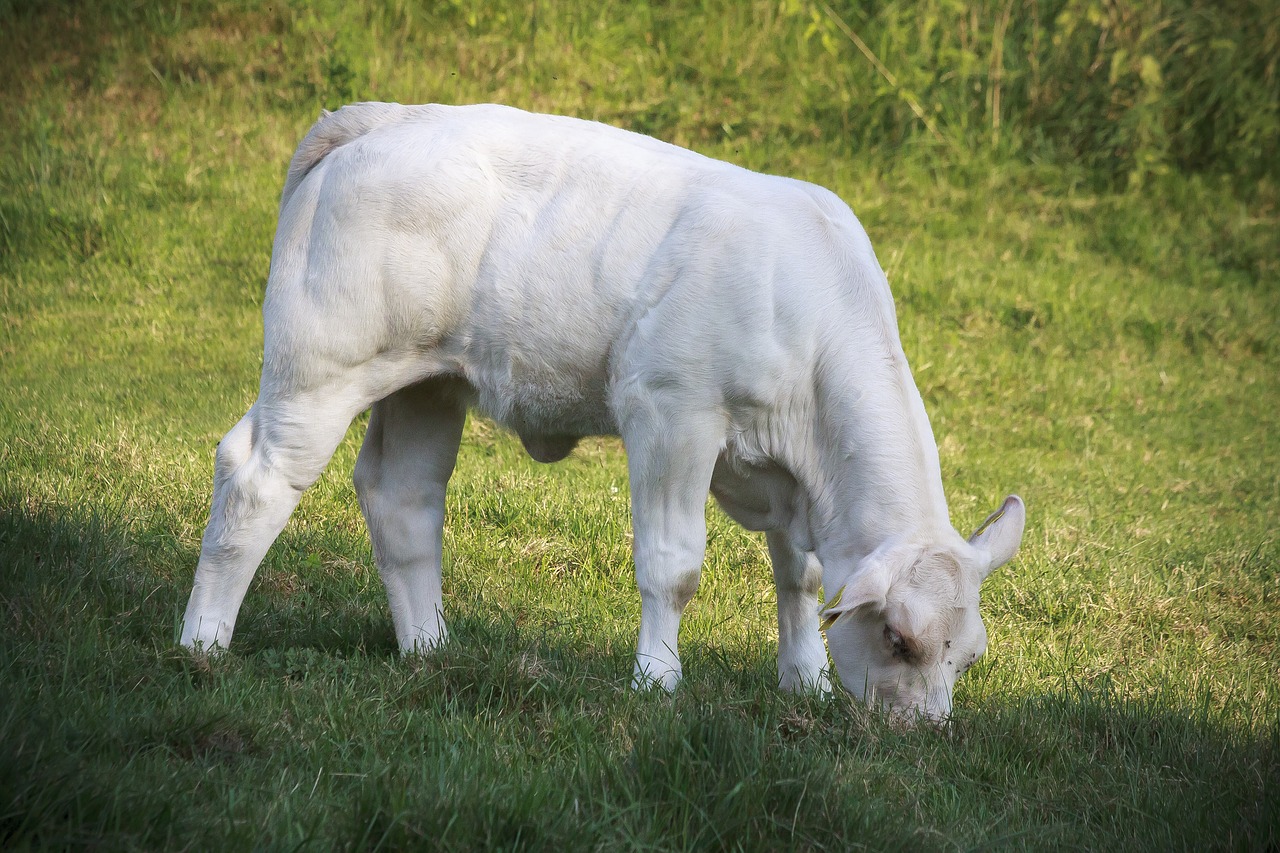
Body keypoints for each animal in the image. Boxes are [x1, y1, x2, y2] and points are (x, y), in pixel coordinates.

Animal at [180, 103, 1024, 722]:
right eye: (900, 638)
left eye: (968, 653)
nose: (921, 728)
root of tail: (382, 118)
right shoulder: (671, 413)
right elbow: (673, 565)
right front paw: (657, 680)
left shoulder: (791, 475)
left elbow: (802, 577)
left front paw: (805, 681)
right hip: (320, 367)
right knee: (255, 479)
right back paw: (204, 643)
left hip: (426, 381)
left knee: (403, 497)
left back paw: (430, 647)